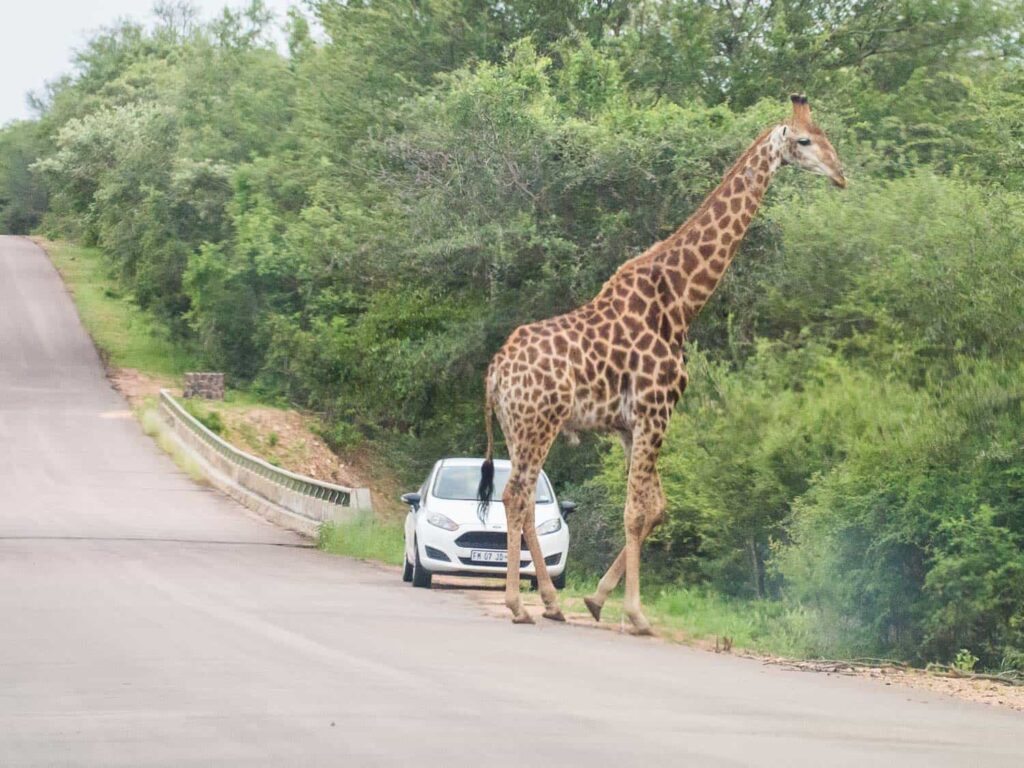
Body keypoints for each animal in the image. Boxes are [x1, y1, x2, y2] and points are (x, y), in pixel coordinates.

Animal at [477, 95, 846, 633]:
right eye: (804, 141)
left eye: (826, 136)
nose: (841, 174)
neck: (680, 301)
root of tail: (495, 371)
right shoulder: (656, 411)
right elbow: (636, 511)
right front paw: (636, 613)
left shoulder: (631, 424)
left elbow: (656, 509)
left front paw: (597, 599)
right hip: (537, 423)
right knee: (515, 497)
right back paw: (518, 605)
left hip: (515, 426)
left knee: (523, 502)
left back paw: (549, 602)